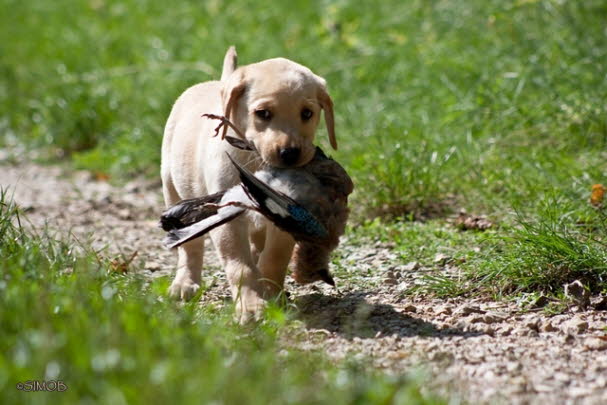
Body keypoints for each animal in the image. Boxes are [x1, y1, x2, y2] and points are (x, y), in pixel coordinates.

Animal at [159, 45, 338, 320]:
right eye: (262, 113)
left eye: (307, 113)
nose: (290, 154)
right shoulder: (227, 221)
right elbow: (240, 266)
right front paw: (251, 306)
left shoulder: (285, 219)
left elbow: (274, 258)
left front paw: (272, 294)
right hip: (172, 187)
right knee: (191, 247)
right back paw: (184, 283)